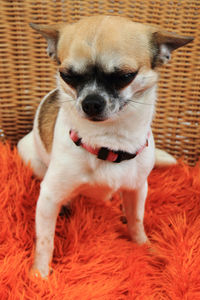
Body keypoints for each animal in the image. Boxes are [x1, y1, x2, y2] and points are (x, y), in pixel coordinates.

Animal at [18, 15, 193, 278]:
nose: (91, 102)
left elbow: (137, 221)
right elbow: (45, 240)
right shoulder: (48, 196)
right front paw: (40, 274)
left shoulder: (138, 188)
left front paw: (145, 248)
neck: (109, 143)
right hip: (29, 156)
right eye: (67, 75)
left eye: (125, 76)